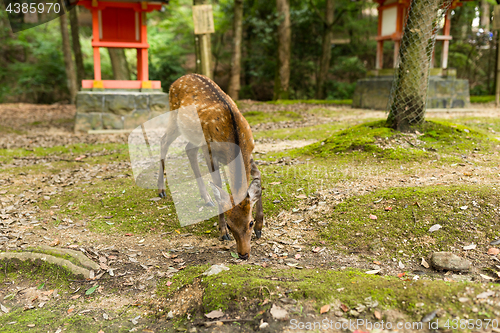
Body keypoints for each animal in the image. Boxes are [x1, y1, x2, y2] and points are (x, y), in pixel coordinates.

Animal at [158, 72, 264, 260]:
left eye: (250, 223)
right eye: (230, 225)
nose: (243, 254)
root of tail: (177, 80)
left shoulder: (250, 150)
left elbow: (258, 176)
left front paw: (261, 227)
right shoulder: (209, 151)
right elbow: (218, 185)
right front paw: (222, 232)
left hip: (193, 136)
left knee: (188, 149)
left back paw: (206, 198)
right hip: (175, 118)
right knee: (163, 141)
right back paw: (161, 190)